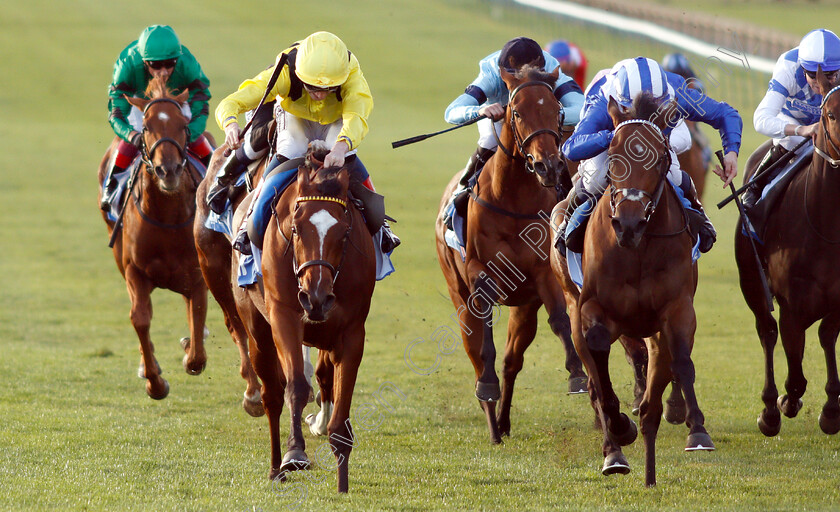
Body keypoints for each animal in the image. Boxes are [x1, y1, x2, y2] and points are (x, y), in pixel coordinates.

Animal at [98, 78, 208, 400]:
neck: (167, 218)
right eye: (146, 127)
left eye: (183, 125)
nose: (167, 170)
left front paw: (190, 351)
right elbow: (140, 318)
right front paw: (155, 381)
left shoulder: (196, 275)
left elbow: (197, 346)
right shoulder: (135, 271)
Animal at [231, 147, 372, 492]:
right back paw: (275, 468)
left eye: (344, 231)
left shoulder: (352, 330)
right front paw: (295, 453)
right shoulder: (285, 316)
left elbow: (340, 405)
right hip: (257, 329)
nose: (316, 297)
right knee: (271, 394)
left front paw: (343, 482)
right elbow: (295, 384)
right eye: (295, 228)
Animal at [436, 66, 580, 446]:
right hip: (459, 293)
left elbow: (560, 320)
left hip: (524, 306)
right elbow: (485, 345)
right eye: (516, 112)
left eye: (557, 111)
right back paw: (491, 422)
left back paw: (502, 422)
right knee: (476, 352)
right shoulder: (478, 273)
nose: (548, 165)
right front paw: (488, 389)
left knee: (512, 360)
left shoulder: (543, 274)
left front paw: (576, 372)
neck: (513, 199)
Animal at [556, 94, 712, 486]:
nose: (628, 224)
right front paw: (619, 429)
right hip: (572, 305)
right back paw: (614, 453)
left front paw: (697, 430)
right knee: (596, 382)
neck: (637, 250)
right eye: (612, 157)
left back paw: (650, 470)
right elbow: (600, 368)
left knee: (655, 390)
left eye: (661, 159)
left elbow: (682, 362)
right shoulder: (593, 310)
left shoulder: (677, 310)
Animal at [740, 67, 840, 436]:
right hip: (752, 284)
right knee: (767, 332)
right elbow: (794, 373)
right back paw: (771, 408)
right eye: (830, 114)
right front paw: (783, 403)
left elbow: (825, 336)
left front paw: (831, 409)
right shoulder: (791, 305)